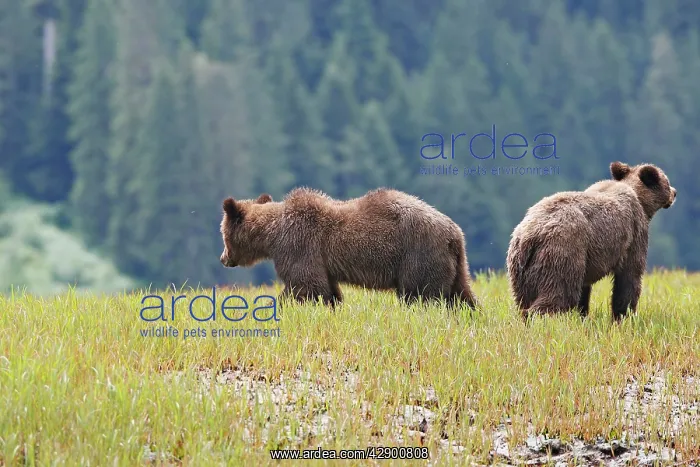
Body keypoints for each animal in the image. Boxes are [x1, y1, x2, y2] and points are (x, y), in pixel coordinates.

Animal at [219, 187, 478, 310]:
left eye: (222, 234)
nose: (223, 258)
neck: (272, 235)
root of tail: (454, 233)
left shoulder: (299, 246)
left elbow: (305, 285)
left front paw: (277, 305)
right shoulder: (320, 262)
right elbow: (327, 289)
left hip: (418, 255)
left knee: (420, 295)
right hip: (454, 265)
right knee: (461, 296)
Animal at [506, 161, 677, 321]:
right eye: (667, 181)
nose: (675, 192)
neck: (639, 199)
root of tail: (529, 237)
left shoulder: (588, 257)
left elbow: (584, 290)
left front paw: (583, 315)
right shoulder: (634, 233)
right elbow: (629, 277)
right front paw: (624, 315)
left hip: (521, 268)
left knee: (524, 299)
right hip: (561, 252)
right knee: (558, 294)